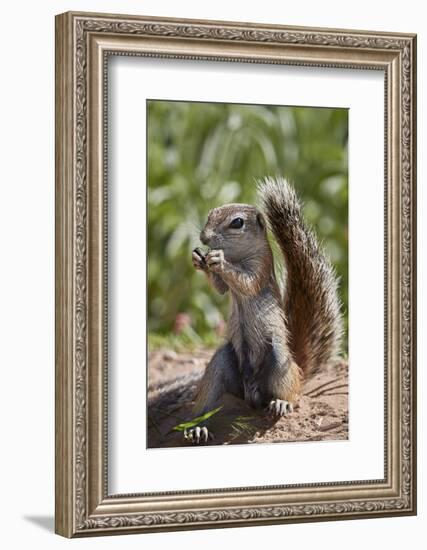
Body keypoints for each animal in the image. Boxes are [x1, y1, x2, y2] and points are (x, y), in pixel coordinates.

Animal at [186, 179, 342, 446]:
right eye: (209, 215)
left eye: (237, 222)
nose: (204, 237)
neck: (236, 256)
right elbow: (220, 289)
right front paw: (200, 260)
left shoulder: (260, 268)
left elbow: (247, 283)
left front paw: (219, 261)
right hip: (223, 362)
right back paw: (198, 427)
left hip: (279, 360)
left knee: (292, 396)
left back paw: (281, 402)